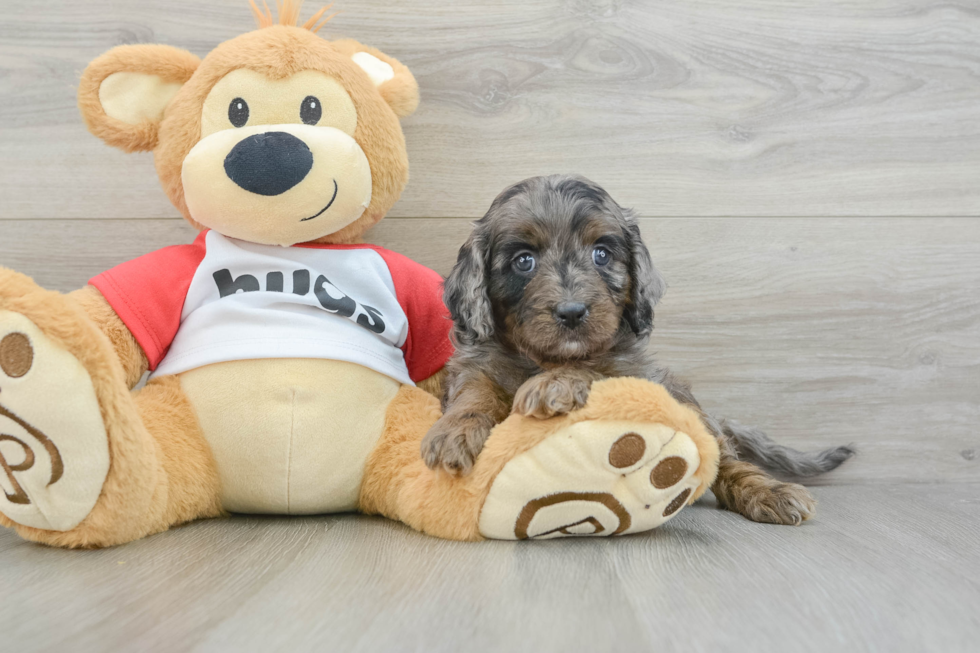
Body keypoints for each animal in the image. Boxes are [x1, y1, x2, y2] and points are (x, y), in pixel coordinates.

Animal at [420, 173, 848, 524]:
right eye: (524, 260)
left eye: (601, 254)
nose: (572, 312)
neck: (544, 358)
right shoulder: (476, 364)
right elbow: (474, 393)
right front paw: (455, 431)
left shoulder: (632, 369)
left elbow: (595, 366)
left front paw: (556, 383)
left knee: (722, 458)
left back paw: (768, 491)